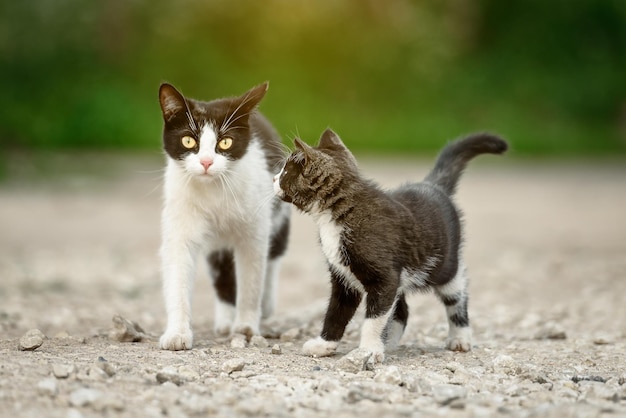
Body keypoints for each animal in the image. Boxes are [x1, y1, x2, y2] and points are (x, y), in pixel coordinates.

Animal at [158, 81, 290, 350]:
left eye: (226, 143)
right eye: (188, 141)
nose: (207, 162)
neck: (213, 192)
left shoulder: (254, 228)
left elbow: (251, 277)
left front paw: (246, 326)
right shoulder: (180, 218)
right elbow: (178, 271)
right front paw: (177, 334)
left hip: (278, 210)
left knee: (274, 254)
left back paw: (265, 306)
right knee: (222, 270)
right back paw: (225, 319)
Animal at [272, 130, 508, 362]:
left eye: (285, 171)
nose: (274, 177)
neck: (337, 214)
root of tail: (433, 185)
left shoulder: (384, 276)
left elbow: (374, 317)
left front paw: (368, 350)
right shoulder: (344, 278)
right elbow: (336, 312)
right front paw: (324, 345)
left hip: (444, 264)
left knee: (457, 293)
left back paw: (460, 337)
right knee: (401, 309)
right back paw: (389, 342)